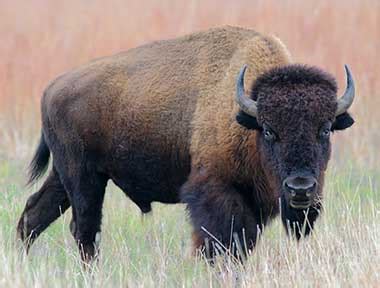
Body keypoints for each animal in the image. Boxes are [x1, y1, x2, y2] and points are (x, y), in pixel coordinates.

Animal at [17, 26, 356, 260]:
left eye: (325, 129)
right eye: (270, 131)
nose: (301, 188)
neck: (245, 115)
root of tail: (51, 88)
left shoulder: (253, 202)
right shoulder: (215, 192)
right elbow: (219, 242)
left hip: (66, 176)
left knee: (34, 214)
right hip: (83, 178)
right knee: (84, 229)